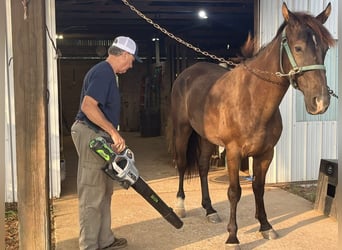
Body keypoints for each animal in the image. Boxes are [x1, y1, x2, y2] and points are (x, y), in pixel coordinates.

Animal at [170, 2, 336, 248]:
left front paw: (265, 226)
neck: (252, 99)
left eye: (324, 50)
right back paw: (180, 206)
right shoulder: (233, 152)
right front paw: (232, 237)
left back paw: (210, 210)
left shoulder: (266, 153)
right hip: (183, 130)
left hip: (207, 138)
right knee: (182, 164)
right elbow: (234, 192)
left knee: (202, 167)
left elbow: (258, 188)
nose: (321, 102)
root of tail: (188, 73)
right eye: (298, 48)